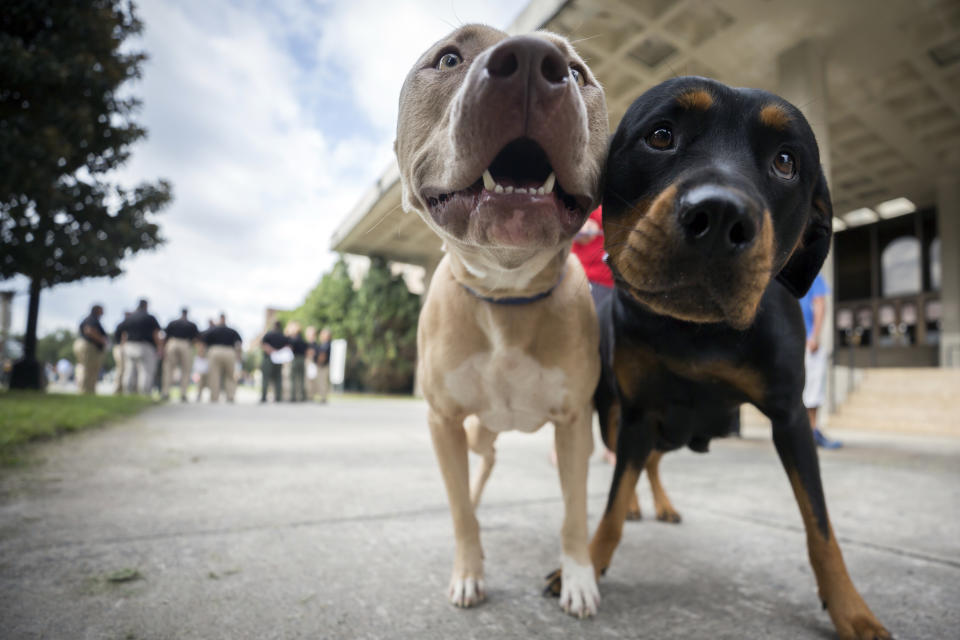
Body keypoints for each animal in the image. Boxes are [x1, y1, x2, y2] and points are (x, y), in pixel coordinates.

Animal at [556, 77, 892, 636]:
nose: (718, 216)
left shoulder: (791, 416)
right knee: (635, 461)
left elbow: (820, 525)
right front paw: (590, 563)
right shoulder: (639, 411)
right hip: (622, 416)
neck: (698, 332)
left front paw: (851, 609)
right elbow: (611, 501)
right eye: (661, 135)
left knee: (651, 463)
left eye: (786, 162)